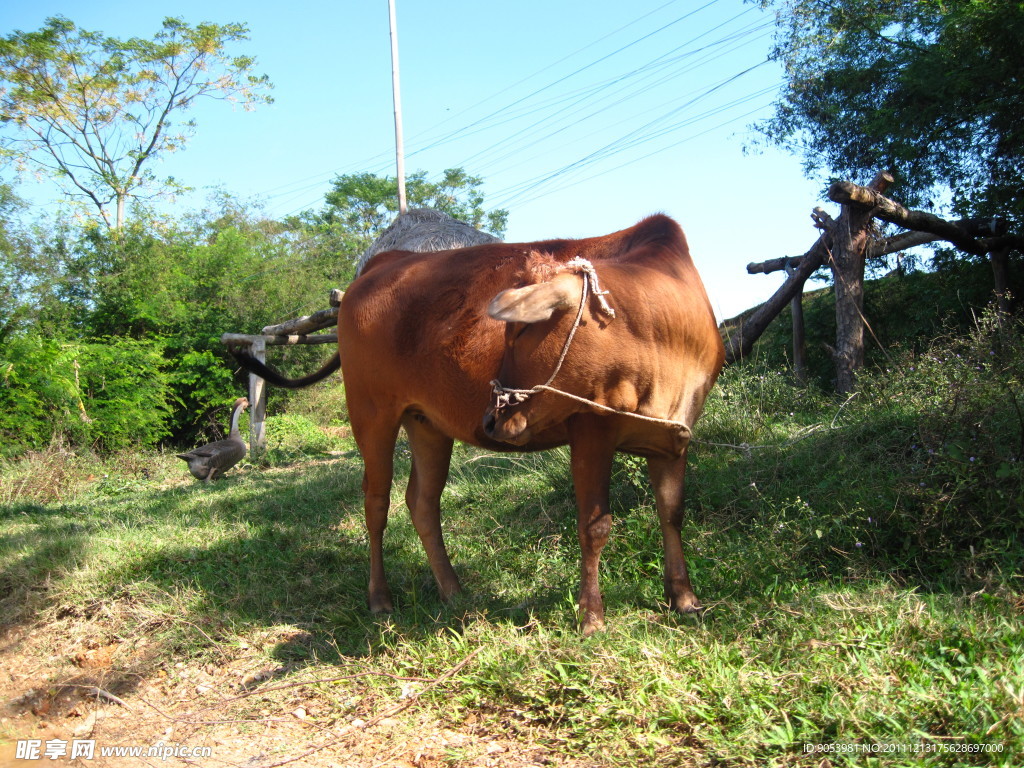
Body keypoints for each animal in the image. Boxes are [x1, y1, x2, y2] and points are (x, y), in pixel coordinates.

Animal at [235, 214, 724, 634]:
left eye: (523, 329)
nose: (492, 416)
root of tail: (381, 264)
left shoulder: (674, 436)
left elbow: (672, 512)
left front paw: (684, 599)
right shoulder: (590, 427)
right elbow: (594, 526)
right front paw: (592, 618)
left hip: (426, 422)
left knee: (422, 501)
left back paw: (453, 590)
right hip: (371, 411)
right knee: (376, 501)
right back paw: (380, 598)